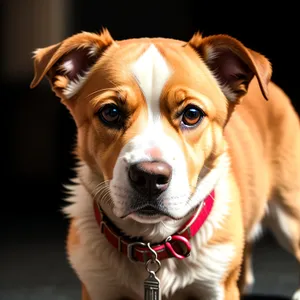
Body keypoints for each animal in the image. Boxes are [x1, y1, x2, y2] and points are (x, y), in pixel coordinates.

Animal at [30, 28, 300, 300]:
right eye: (110, 112)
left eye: (192, 114)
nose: (149, 177)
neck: (153, 242)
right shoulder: (98, 285)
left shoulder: (217, 286)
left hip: (289, 213)